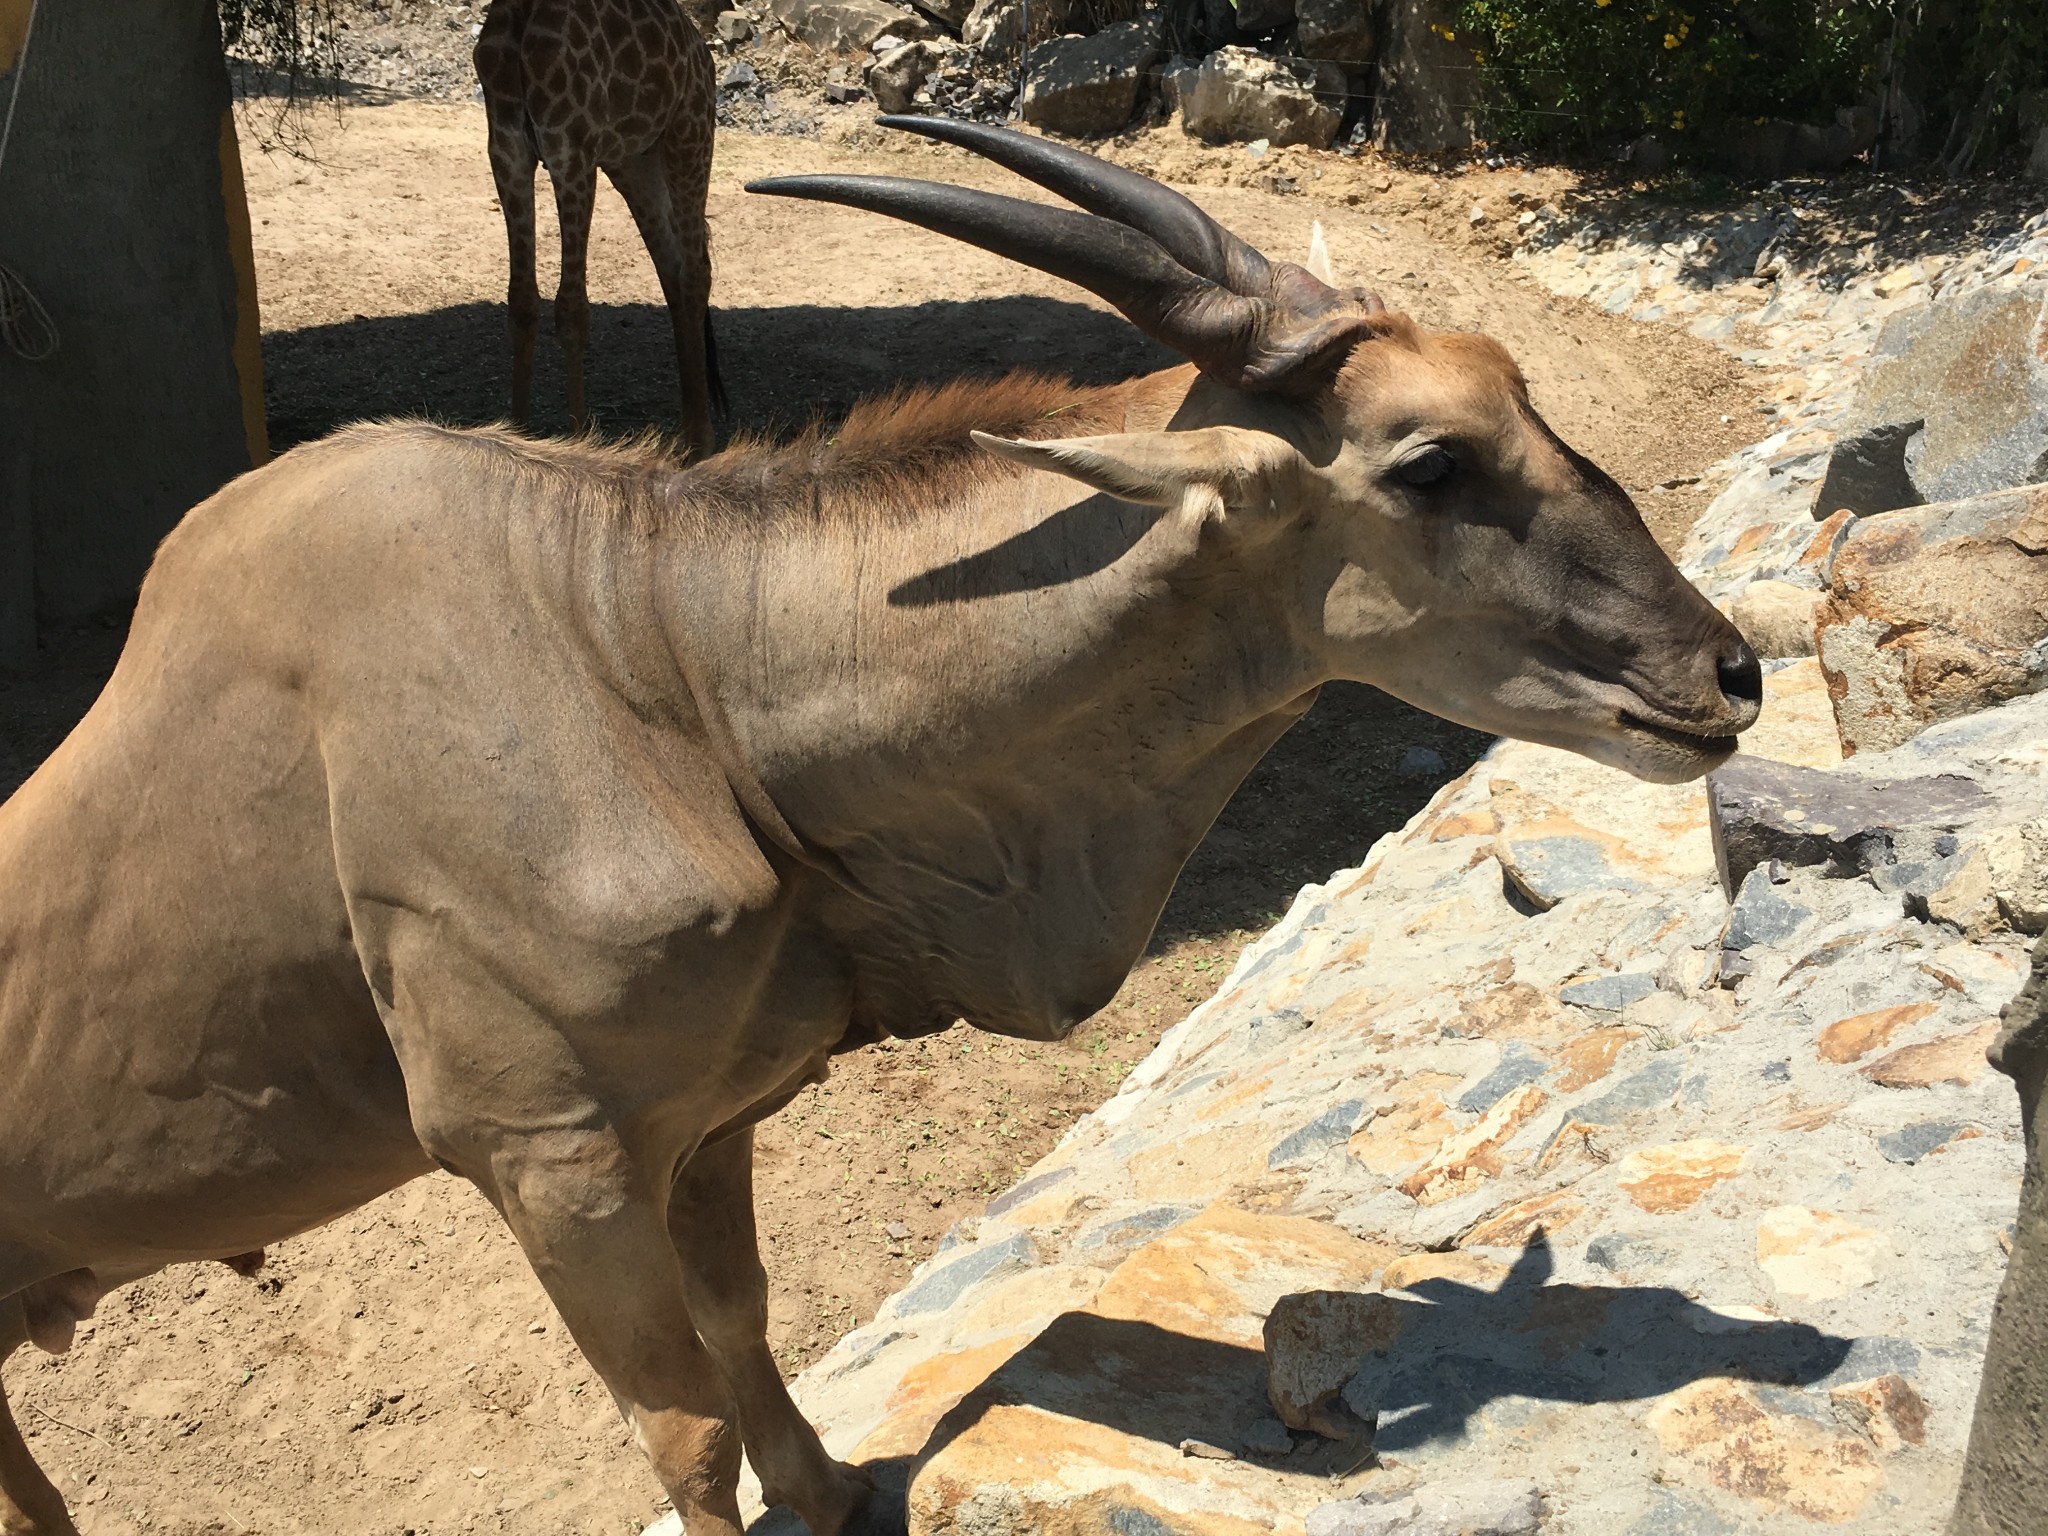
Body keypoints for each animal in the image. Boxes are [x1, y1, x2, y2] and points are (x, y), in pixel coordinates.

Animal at [471, 0, 720, 456]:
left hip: (689, 132)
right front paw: (514, 436)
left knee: (696, 271)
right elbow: (522, 303)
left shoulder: (571, 149)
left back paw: (701, 441)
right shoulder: (507, 149)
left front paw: (577, 445)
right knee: (673, 269)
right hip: (633, 160)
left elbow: (572, 310)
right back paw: (688, 435)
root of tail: (701, 53)